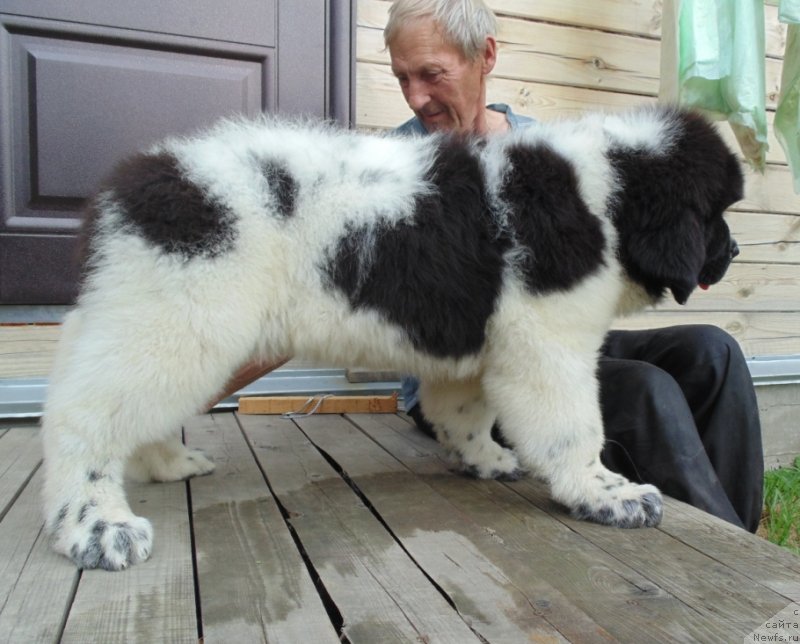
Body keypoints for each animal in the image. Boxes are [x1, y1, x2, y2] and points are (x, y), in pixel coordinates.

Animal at [42, 105, 744, 568]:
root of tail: (127, 184)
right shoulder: (549, 342)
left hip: (147, 313)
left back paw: (167, 463)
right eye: (717, 215)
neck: (607, 193)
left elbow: (465, 409)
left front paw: (484, 460)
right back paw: (97, 525)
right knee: (81, 418)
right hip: (179, 317)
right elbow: (575, 428)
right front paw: (609, 494)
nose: (735, 252)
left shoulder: (480, 344)